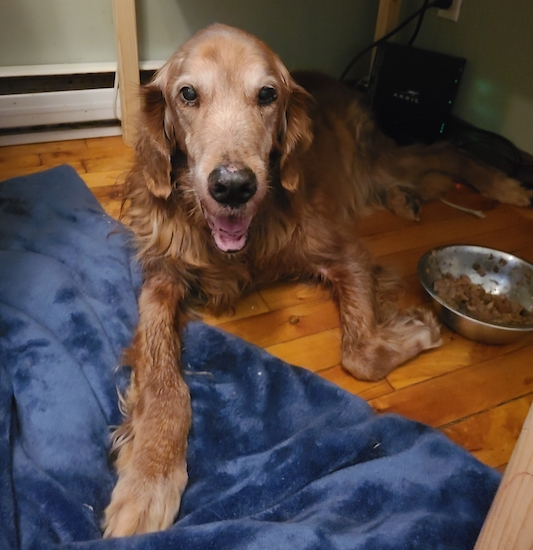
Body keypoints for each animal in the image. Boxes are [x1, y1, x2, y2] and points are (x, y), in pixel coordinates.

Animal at [103, 23, 528, 536]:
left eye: (267, 95)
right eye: (187, 94)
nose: (233, 186)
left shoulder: (342, 251)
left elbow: (360, 355)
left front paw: (420, 329)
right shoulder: (161, 279)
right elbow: (165, 378)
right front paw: (150, 475)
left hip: (375, 157)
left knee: (444, 151)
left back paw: (505, 184)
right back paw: (406, 199)